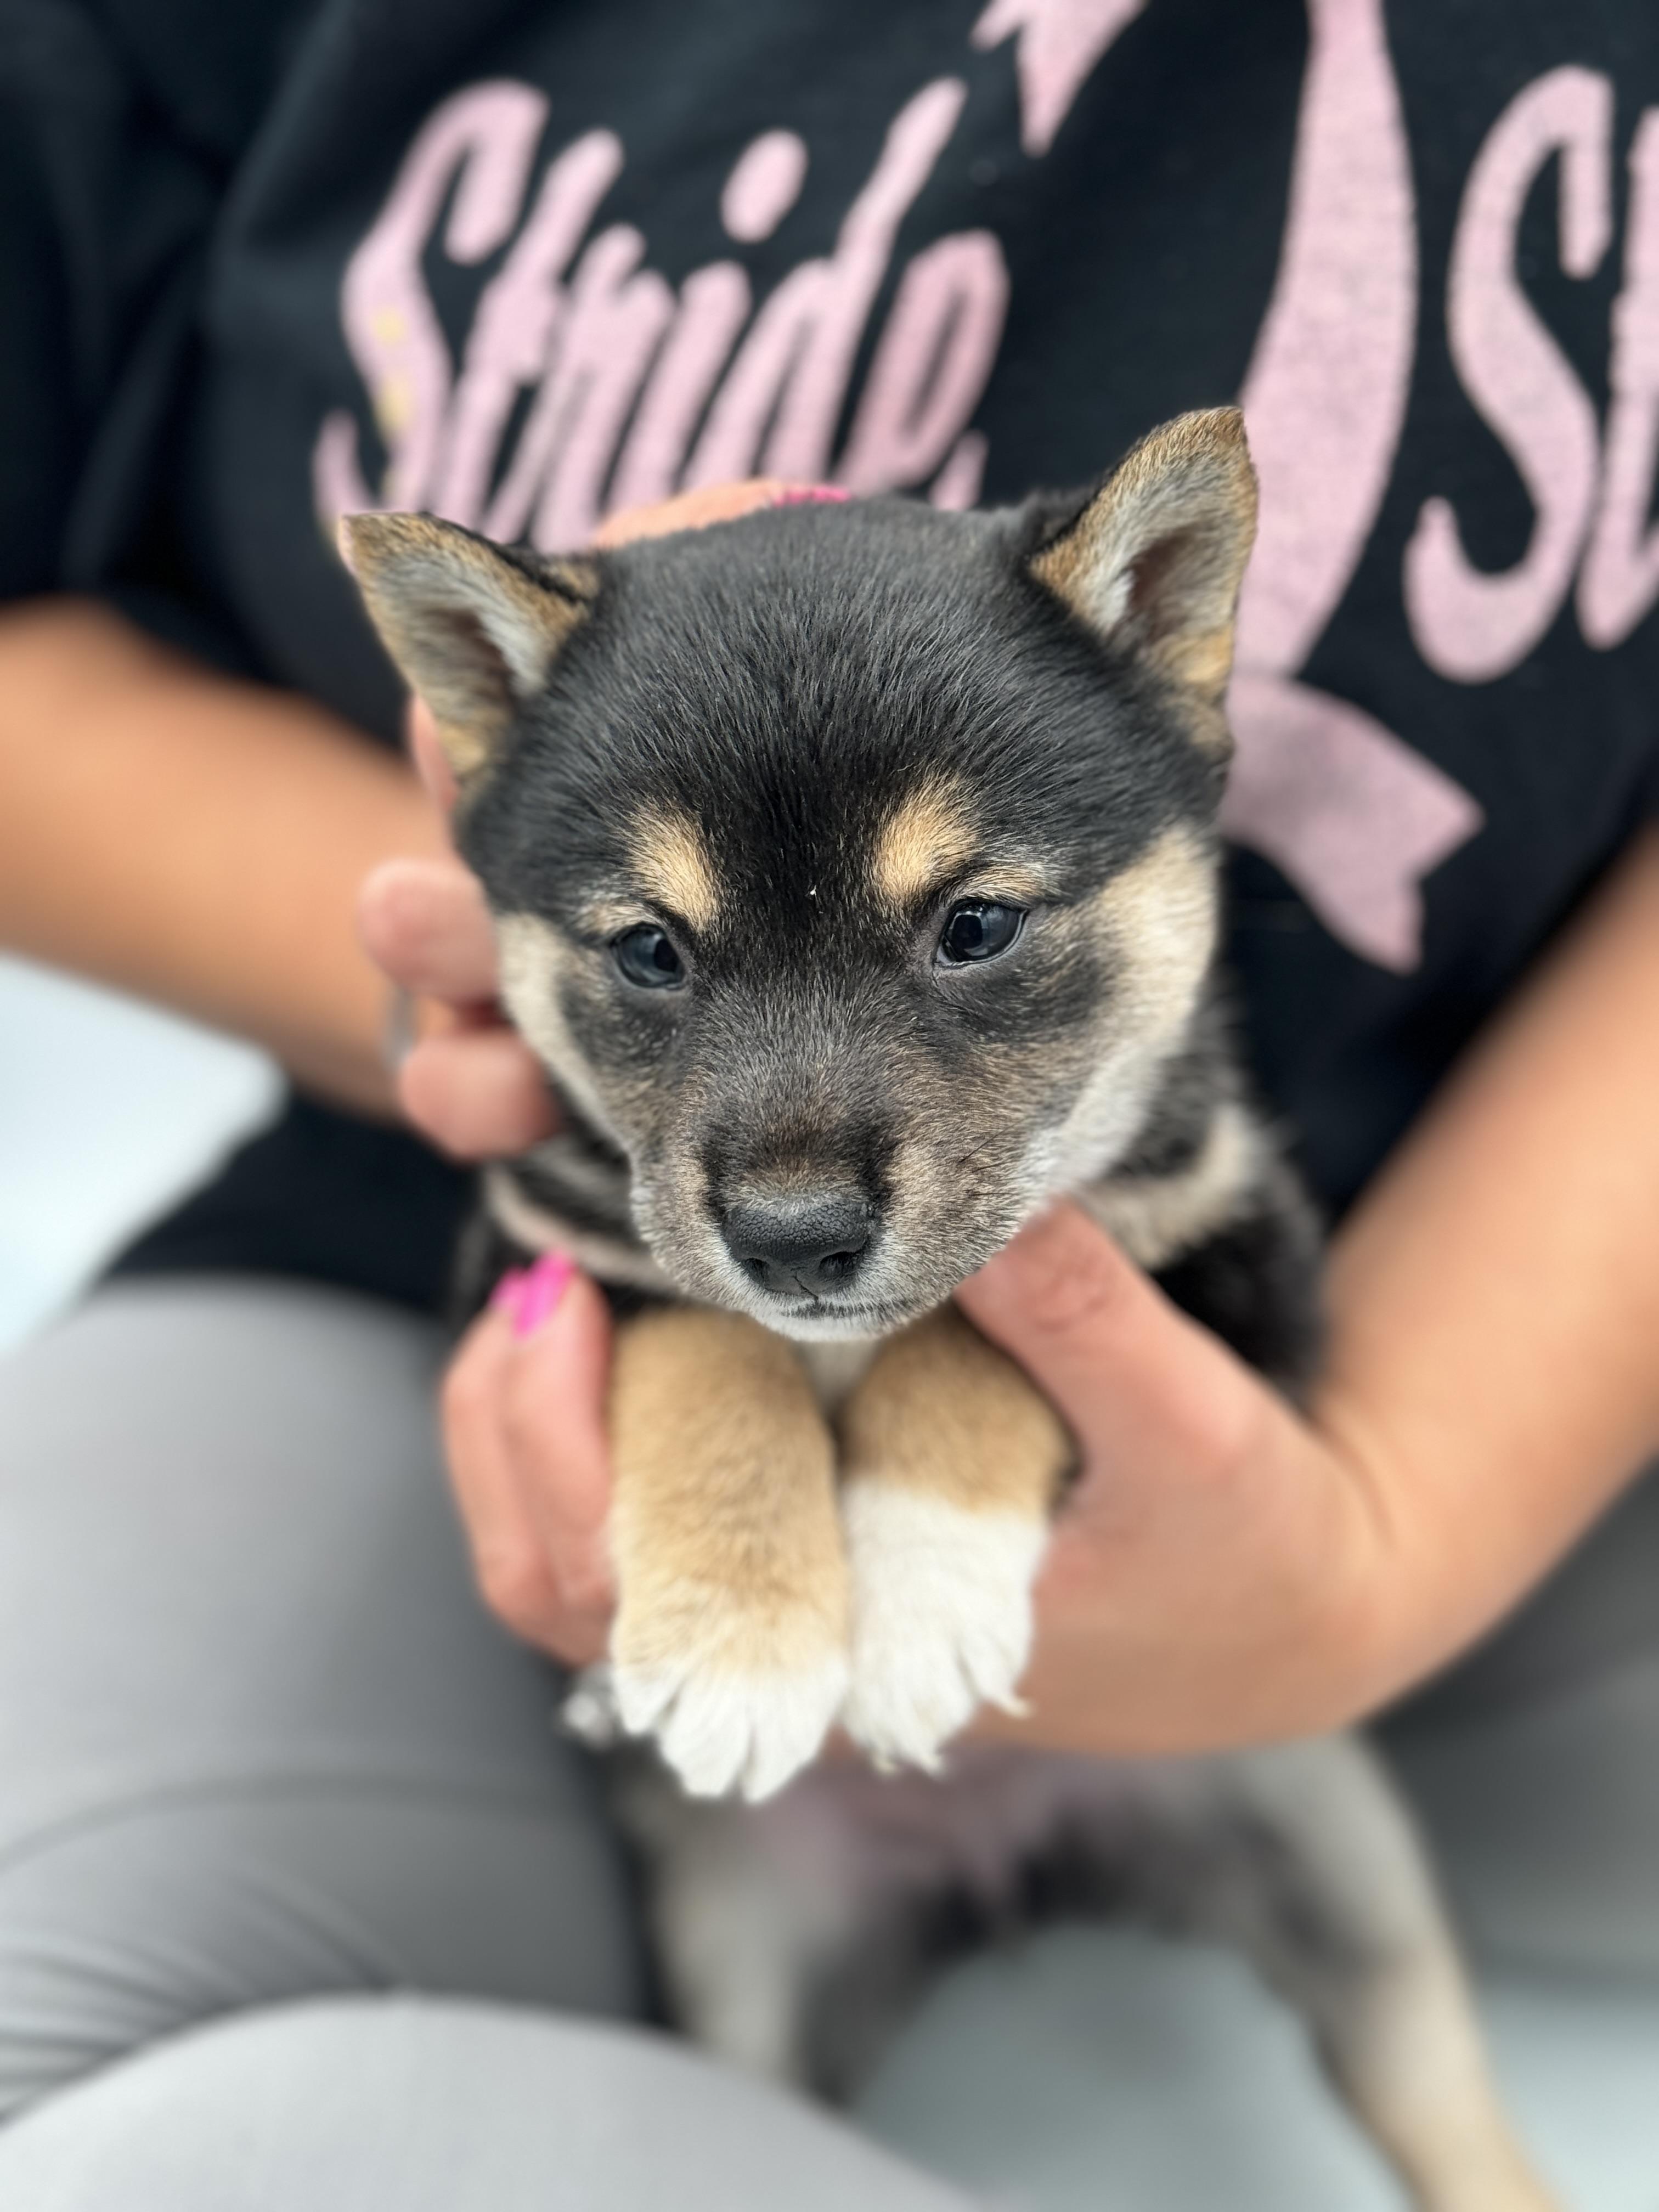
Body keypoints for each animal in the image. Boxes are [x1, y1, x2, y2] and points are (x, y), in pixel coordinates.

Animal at [345, 412, 1554, 2211]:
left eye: (974, 926)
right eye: (650, 952)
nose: (794, 1240)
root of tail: (1016, 1867)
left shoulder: (1234, 1274)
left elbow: (974, 1318)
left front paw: (912, 1584)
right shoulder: (548, 1255)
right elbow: (705, 1337)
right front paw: (741, 1632)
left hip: (1343, 1862)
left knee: (1439, 2100)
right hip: (741, 1958)